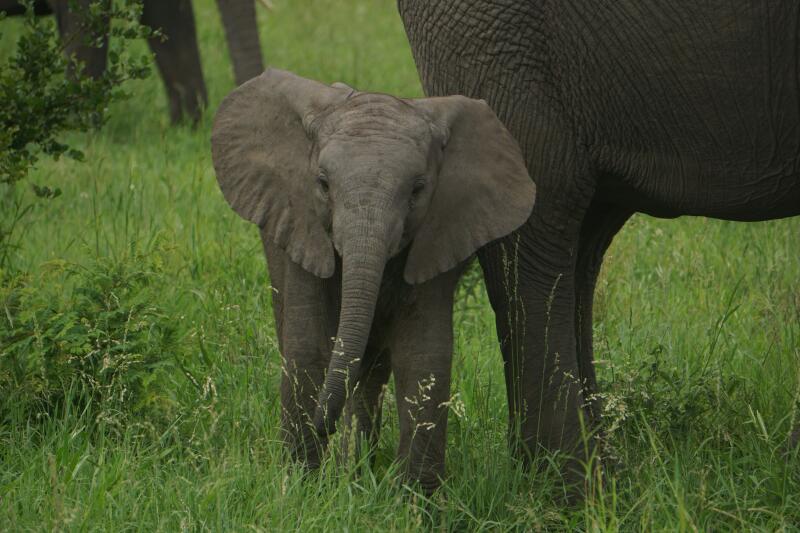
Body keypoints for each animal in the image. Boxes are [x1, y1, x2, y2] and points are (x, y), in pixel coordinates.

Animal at [210, 69, 535, 492]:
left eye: (417, 189)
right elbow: (309, 347)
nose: (324, 427)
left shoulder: (438, 232)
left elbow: (423, 355)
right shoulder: (304, 226)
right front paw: (301, 488)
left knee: (370, 367)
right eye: (322, 183)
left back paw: (356, 471)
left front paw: (414, 499)